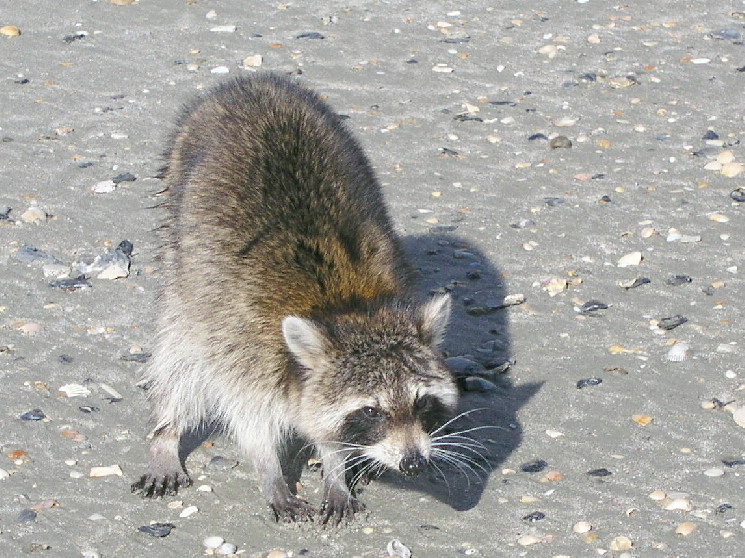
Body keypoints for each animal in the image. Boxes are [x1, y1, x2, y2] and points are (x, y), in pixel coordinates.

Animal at [131, 74, 458, 524]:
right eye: (370, 411)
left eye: (422, 402)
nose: (413, 463)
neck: (346, 306)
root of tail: (252, 83)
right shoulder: (243, 345)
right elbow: (249, 417)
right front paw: (271, 472)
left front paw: (336, 467)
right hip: (178, 245)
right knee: (179, 357)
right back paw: (166, 433)